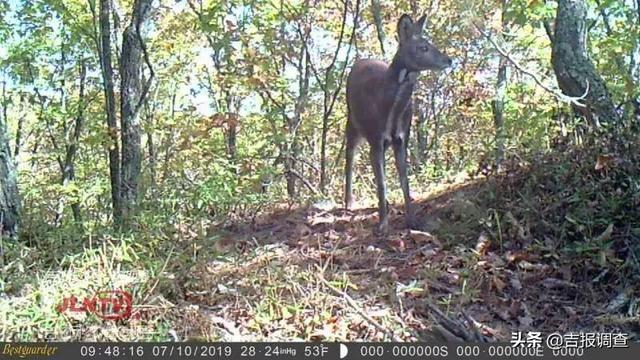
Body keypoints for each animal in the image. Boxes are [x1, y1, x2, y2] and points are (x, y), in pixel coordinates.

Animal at [344, 13, 450, 233]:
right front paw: (383, 225)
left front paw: (412, 220)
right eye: (423, 47)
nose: (449, 60)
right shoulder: (375, 137)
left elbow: (404, 179)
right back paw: (349, 202)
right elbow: (382, 183)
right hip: (353, 122)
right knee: (349, 156)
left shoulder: (402, 138)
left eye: (430, 43)